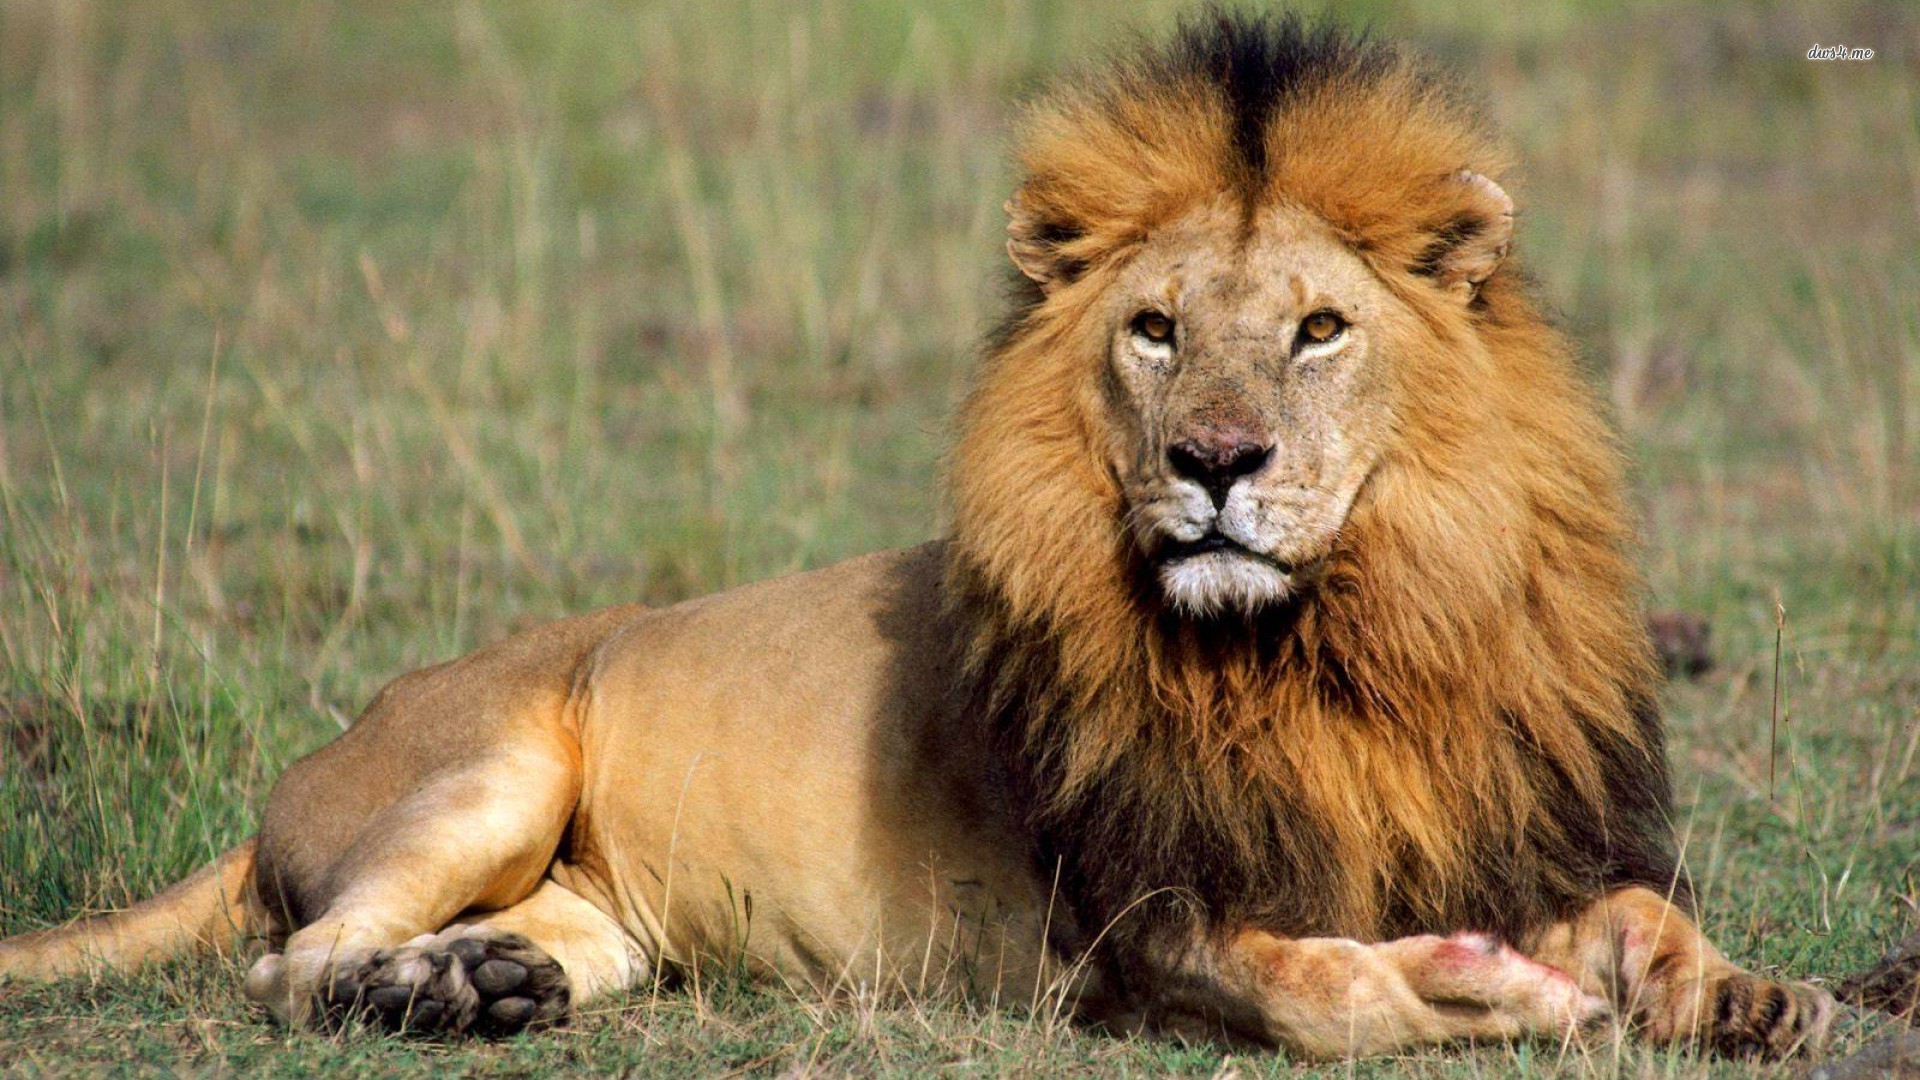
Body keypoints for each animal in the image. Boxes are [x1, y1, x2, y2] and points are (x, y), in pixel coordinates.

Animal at [0, 12, 1834, 1060]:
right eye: (1156, 329)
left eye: (1319, 330)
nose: (1215, 460)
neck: (1340, 646)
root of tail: (309, 765)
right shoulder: (1137, 928)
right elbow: (1332, 994)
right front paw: (1485, 996)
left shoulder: (1506, 822)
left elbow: (1651, 921)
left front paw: (1754, 996)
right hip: (491, 764)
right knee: (289, 961)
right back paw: (414, 995)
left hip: (598, 909)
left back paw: (481, 988)